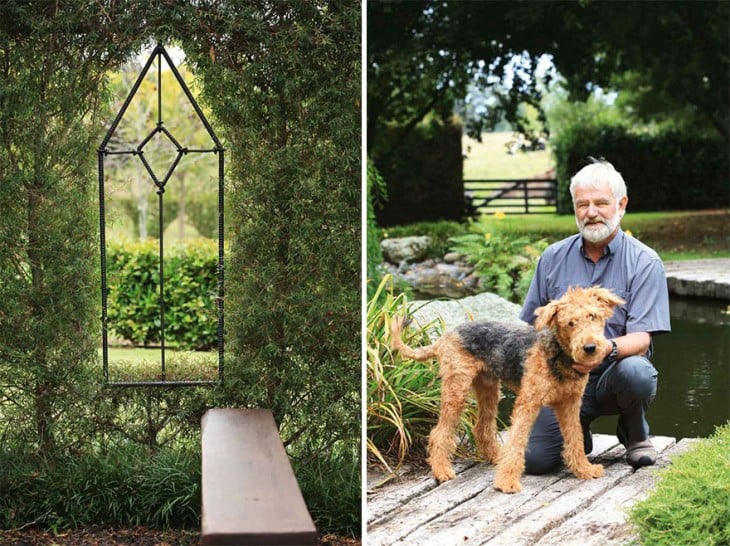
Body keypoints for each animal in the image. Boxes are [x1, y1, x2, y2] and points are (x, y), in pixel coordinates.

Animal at [390, 286, 624, 490]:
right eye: (570, 323)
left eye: (592, 316)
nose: (590, 347)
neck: (559, 355)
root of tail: (447, 335)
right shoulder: (528, 403)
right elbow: (517, 441)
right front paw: (507, 482)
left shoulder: (570, 403)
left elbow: (575, 438)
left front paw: (585, 469)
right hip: (457, 389)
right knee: (440, 433)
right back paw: (442, 471)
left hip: (489, 389)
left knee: (482, 428)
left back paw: (496, 457)